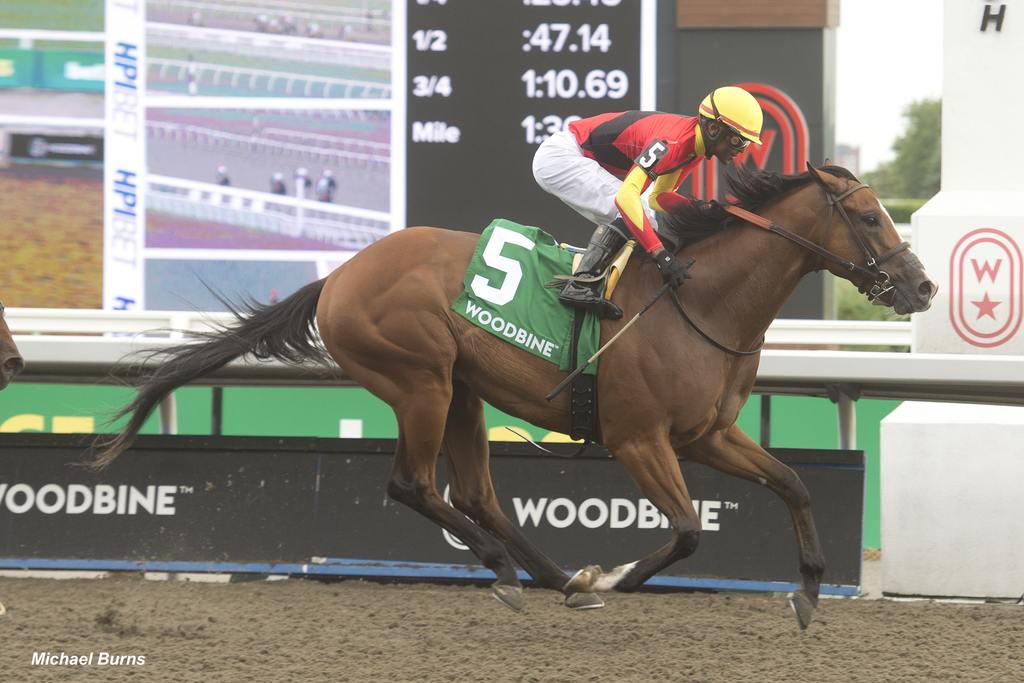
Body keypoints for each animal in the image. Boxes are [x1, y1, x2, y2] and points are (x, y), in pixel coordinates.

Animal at [96, 162, 937, 626]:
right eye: (870, 216)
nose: (923, 285)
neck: (701, 297)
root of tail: (339, 276)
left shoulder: (707, 434)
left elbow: (794, 481)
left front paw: (807, 590)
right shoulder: (639, 439)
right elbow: (690, 529)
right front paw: (616, 575)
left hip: (463, 392)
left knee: (476, 495)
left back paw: (553, 577)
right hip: (422, 379)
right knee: (415, 484)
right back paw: (519, 570)